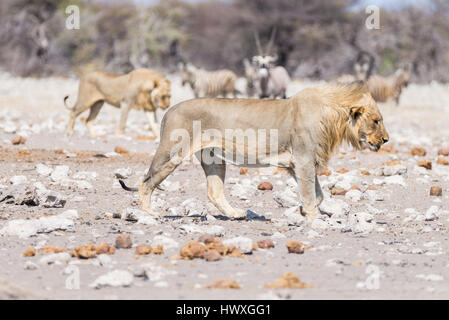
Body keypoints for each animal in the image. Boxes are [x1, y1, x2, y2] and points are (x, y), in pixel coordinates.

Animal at [121, 82, 388, 222]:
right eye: (376, 121)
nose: (386, 140)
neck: (334, 118)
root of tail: (169, 109)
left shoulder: (299, 164)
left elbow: (318, 195)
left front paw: (301, 211)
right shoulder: (303, 161)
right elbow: (312, 195)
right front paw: (315, 220)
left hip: (213, 158)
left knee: (214, 192)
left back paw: (236, 214)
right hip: (172, 153)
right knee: (146, 181)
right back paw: (150, 213)